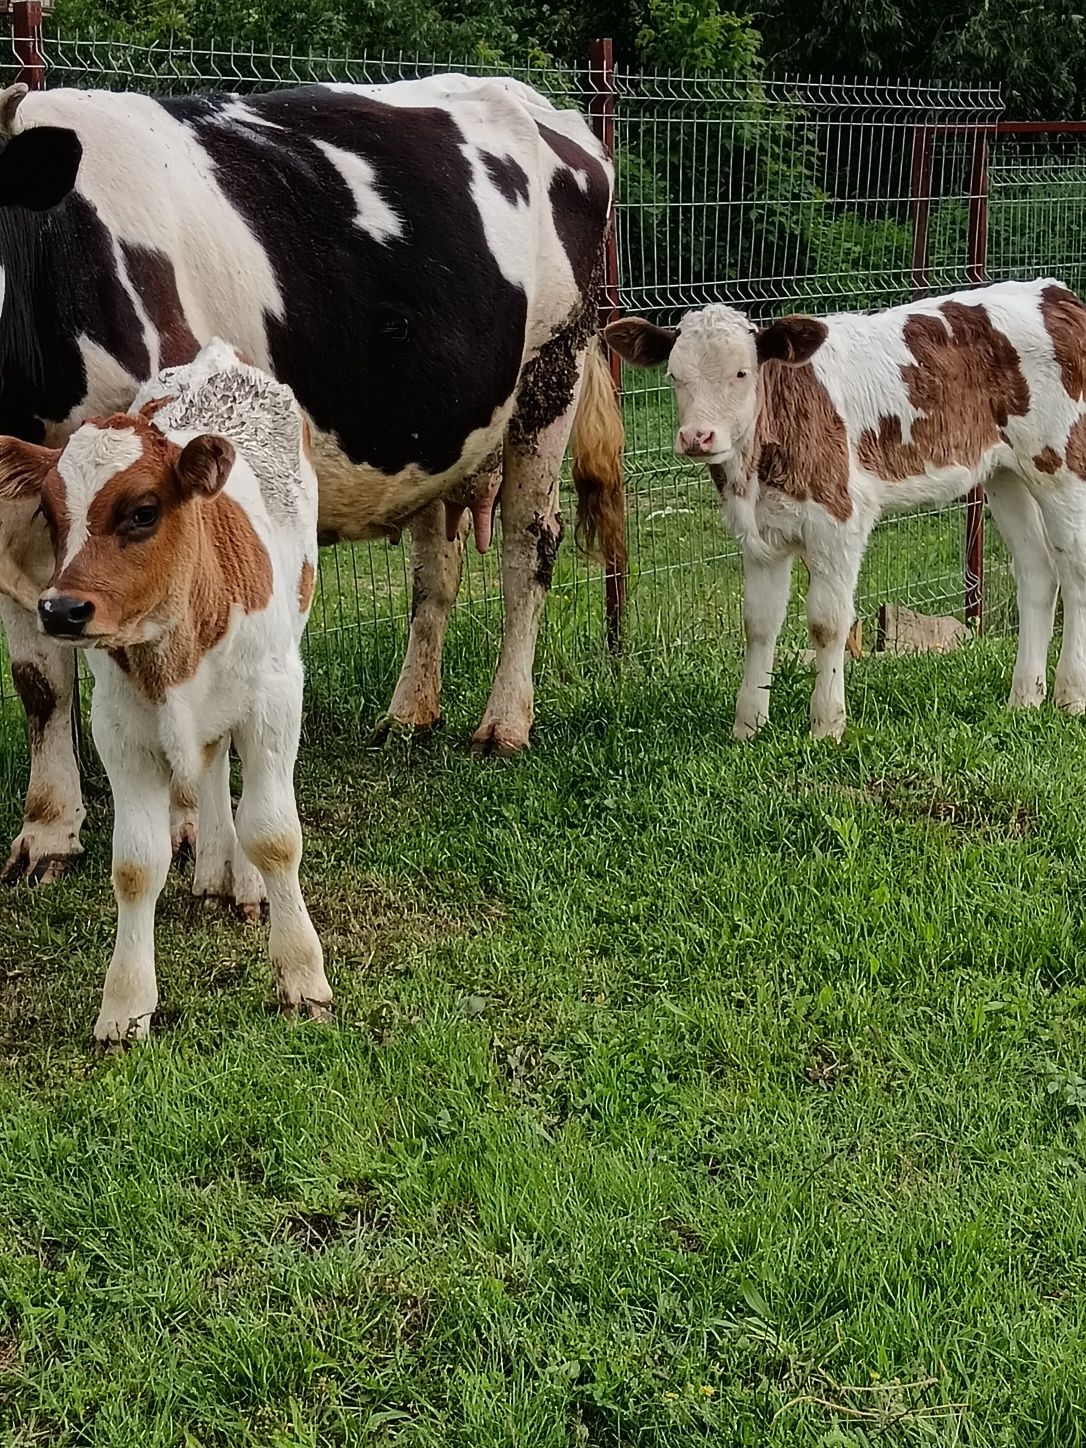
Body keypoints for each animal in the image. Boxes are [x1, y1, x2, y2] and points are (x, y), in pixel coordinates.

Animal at [0, 76, 625, 880]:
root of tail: (545, 105)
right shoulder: (26, 517)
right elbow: (40, 683)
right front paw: (48, 832)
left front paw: (181, 828)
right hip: (433, 428)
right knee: (436, 572)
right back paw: (409, 715)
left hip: (554, 372)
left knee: (528, 551)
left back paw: (503, 723)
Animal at [0, 338, 331, 1042]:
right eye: (50, 514)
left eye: (143, 512)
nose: (60, 609)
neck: (172, 649)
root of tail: (218, 358)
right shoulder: (120, 732)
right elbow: (135, 865)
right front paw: (125, 1005)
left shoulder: (274, 704)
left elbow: (273, 835)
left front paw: (302, 974)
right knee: (211, 769)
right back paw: (213, 873)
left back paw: (245, 885)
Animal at [608, 278, 1086, 741]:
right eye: (674, 375)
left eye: (742, 372)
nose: (697, 436)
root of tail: (1057, 295)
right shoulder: (761, 535)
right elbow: (759, 623)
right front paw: (747, 727)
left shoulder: (837, 521)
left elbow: (828, 622)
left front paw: (826, 724)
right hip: (1007, 473)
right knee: (1037, 572)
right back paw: (1024, 698)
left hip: (1061, 465)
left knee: (1075, 570)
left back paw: (1069, 696)